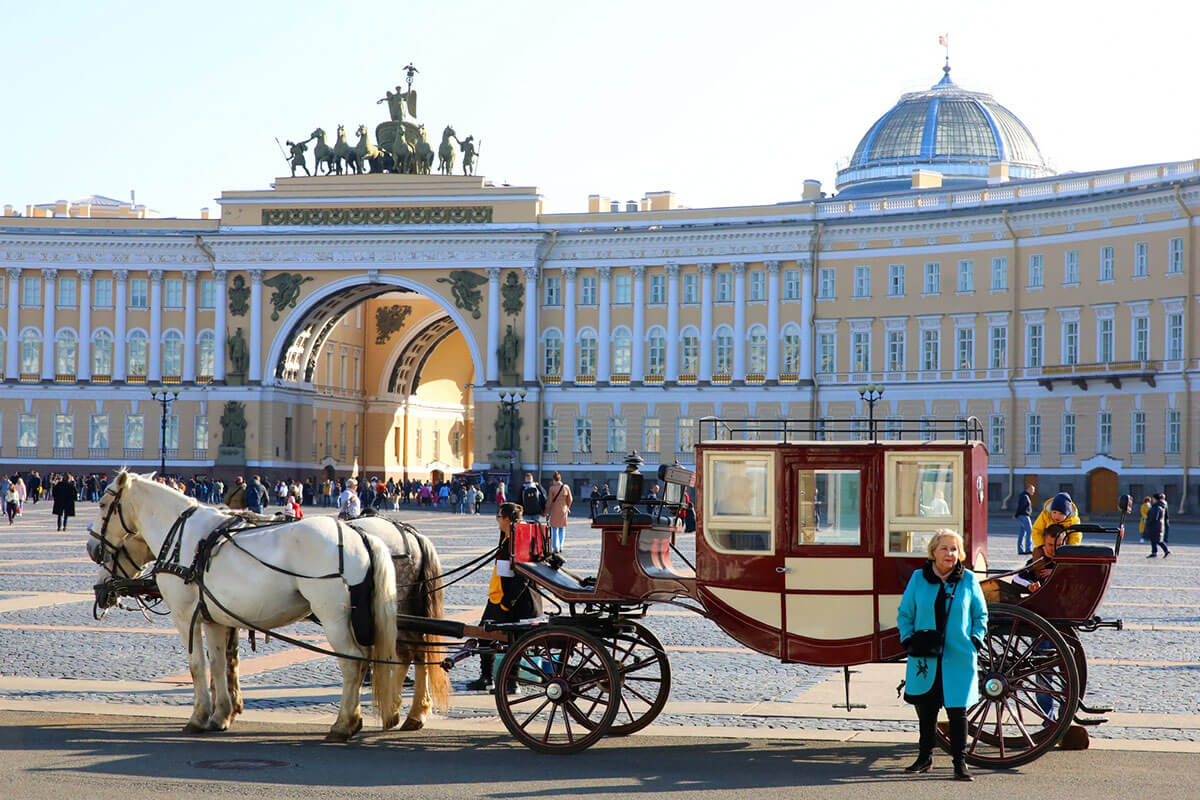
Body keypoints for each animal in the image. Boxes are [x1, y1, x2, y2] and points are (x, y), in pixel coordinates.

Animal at [87, 472, 408, 743]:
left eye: (103, 504)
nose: (92, 549)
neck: (181, 538)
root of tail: (360, 535)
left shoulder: (185, 616)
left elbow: (196, 665)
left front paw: (198, 716)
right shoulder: (214, 618)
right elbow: (218, 664)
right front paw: (220, 715)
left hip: (333, 616)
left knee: (352, 662)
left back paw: (343, 724)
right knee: (366, 661)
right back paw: (357, 720)